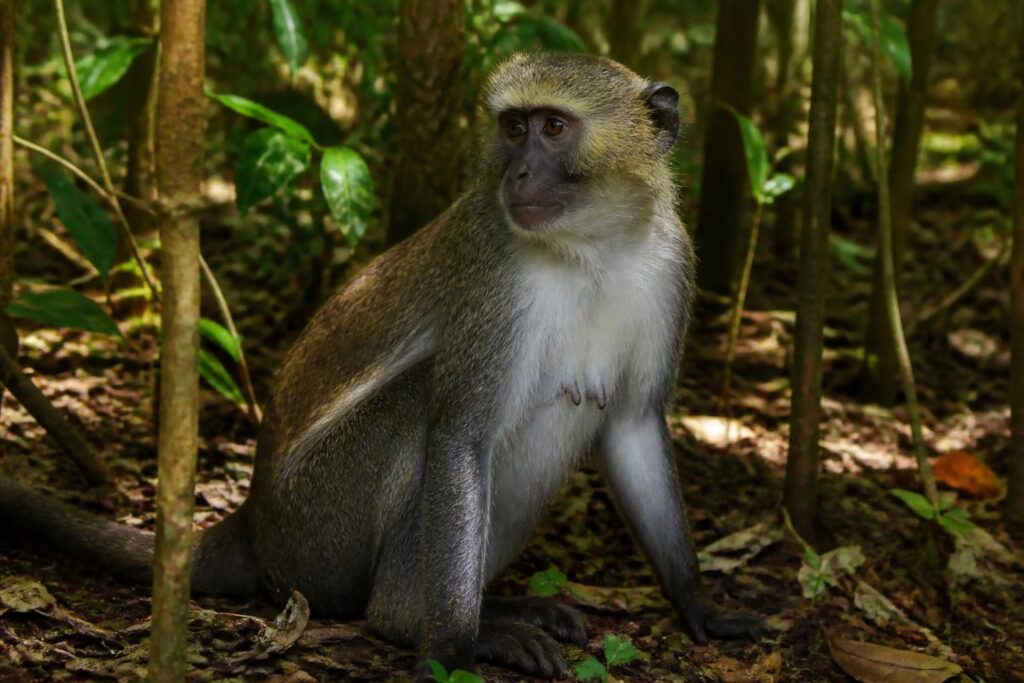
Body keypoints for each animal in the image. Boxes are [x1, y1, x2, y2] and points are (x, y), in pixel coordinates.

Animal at [0, 53, 762, 679]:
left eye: (553, 126)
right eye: (513, 128)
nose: (518, 173)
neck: (592, 246)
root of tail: (252, 524)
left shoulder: (669, 263)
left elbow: (631, 422)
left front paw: (696, 600)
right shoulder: (497, 274)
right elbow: (458, 437)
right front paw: (451, 645)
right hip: (317, 526)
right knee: (429, 402)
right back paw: (415, 619)